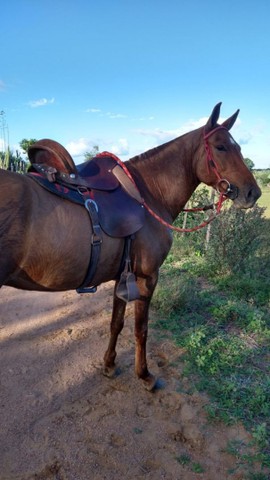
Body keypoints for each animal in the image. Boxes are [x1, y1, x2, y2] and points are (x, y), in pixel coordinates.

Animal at [0, 102, 262, 390]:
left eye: (239, 147)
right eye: (221, 147)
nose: (253, 193)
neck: (147, 195)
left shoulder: (122, 277)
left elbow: (116, 323)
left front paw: (109, 364)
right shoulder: (148, 277)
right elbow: (141, 329)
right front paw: (144, 374)